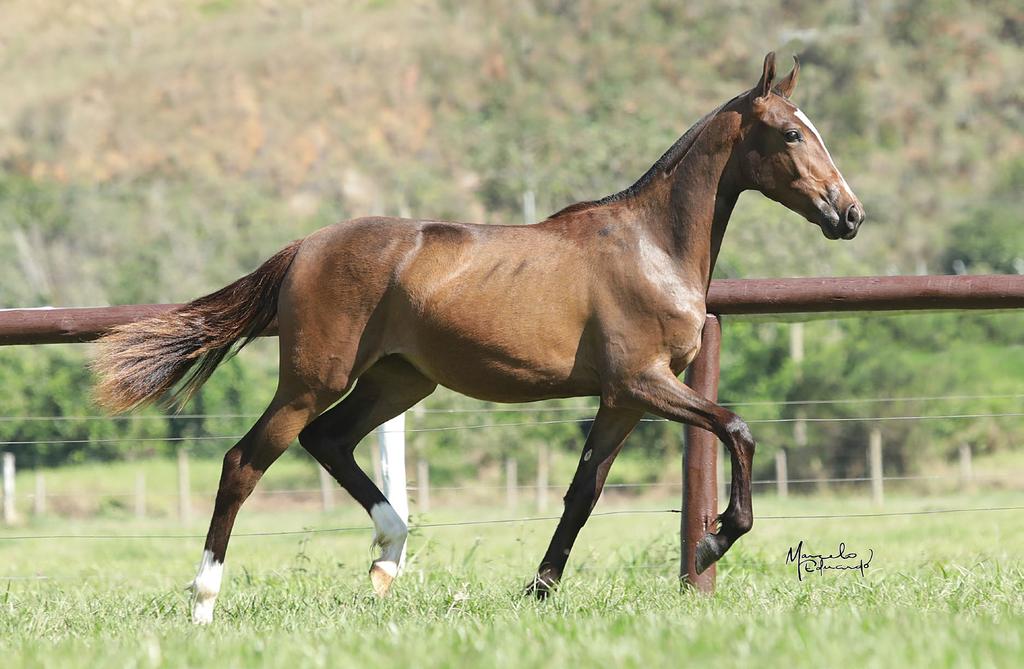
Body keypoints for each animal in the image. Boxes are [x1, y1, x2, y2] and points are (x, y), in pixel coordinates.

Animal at [94, 52, 864, 622]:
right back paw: (204, 602)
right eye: (792, 134)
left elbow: (582, 495)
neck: (652, 245)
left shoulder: (622, 400)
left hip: (398, 380)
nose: (849, 214)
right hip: (312, 380)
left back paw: (388, 557)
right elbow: (738, 428)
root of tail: (305, 247)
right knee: (243, 463)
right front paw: (712, 543)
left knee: (329, 441)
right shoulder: (644, 381)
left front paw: (539, 590)